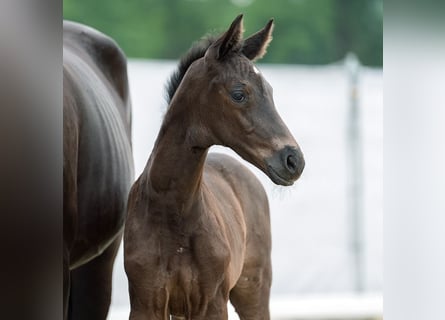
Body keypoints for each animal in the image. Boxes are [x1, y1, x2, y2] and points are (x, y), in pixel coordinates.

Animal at [125, 15, 306, 320]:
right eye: (239, 94)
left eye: (269, 91)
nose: (294, 160)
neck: (171, 208)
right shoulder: (145, 303)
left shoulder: (211, 302)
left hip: (253, 290)